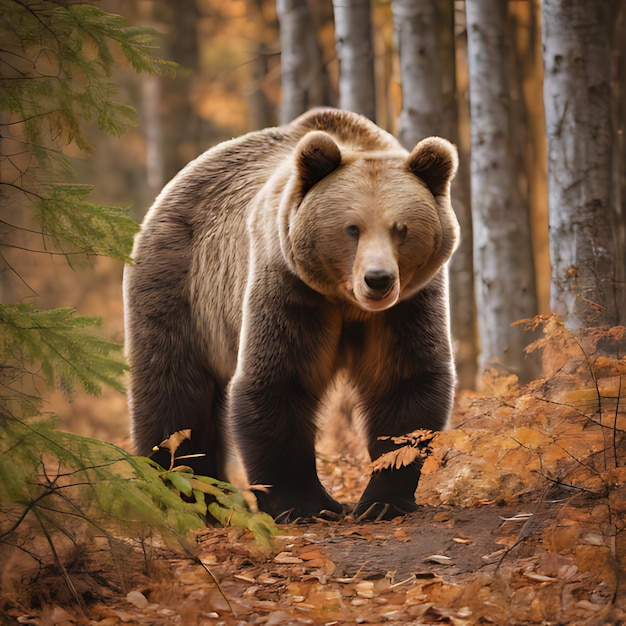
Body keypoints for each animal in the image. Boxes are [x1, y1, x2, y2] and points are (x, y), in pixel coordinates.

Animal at [124, 108, 458, 520]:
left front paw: (383, 500)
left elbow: (403, 381)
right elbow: (278, 380)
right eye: (352, 228)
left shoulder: (406, 306)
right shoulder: (290, 288)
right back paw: (190, 494)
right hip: (183, 285)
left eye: (401, 229)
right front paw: (307, 505)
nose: (378, 280)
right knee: (174, 390)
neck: (345, 301)